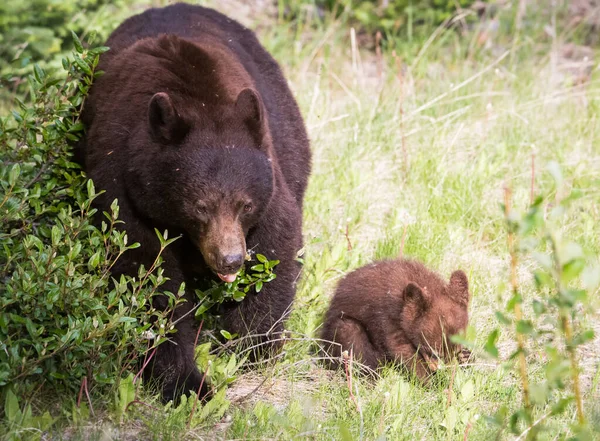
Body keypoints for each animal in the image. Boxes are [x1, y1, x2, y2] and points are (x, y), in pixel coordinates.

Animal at [77, 4, 312, 402]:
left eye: (245, 205)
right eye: (200, 206)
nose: (230, 259)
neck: (199, 100)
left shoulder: (271, 174)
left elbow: (276, 243)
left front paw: (248, 346)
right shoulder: (122, 184)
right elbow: (147, 276)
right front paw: (186, 381)